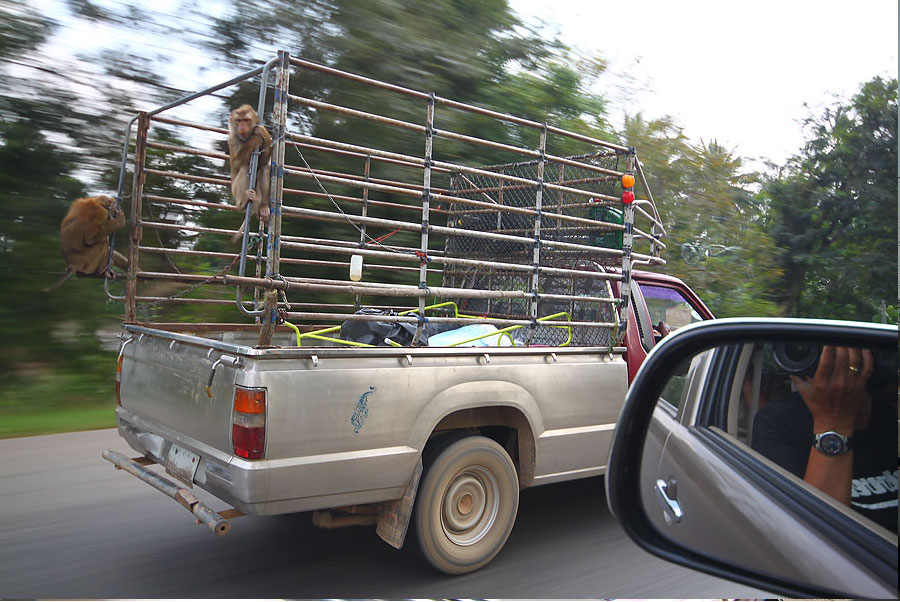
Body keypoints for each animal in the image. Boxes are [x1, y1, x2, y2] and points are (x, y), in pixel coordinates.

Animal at [229, 103, 270, 241]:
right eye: (239, 120)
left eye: (246, 120)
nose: (242, 127)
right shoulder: (232, 139)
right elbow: (236, 163)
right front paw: (254, 140)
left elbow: (263, 162)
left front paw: (264, 134)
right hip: (236, 192)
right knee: (244, 168)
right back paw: (242, 204)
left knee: (264, 168)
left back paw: (263, 207)